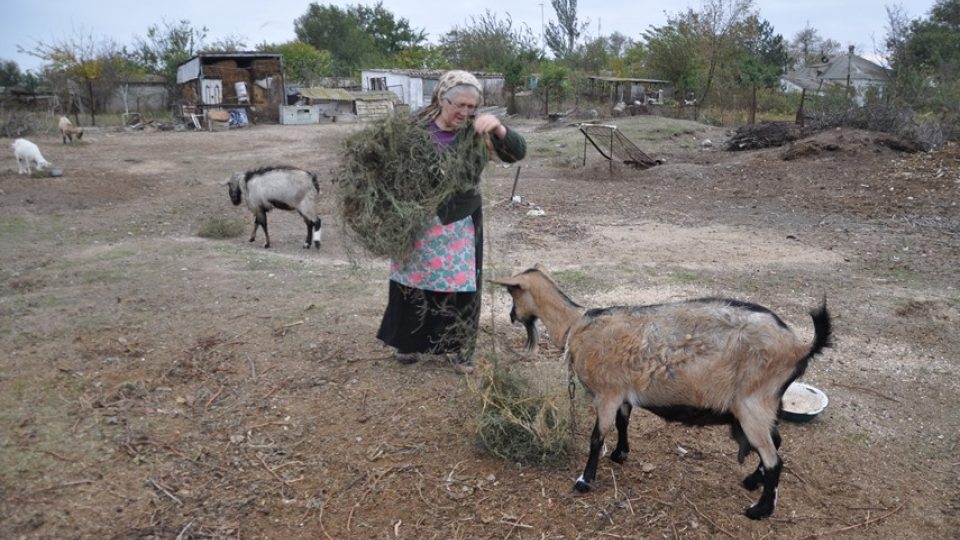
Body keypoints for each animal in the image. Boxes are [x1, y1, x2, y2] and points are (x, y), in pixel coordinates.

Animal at [496, 266, 832, 520]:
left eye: (512, 293)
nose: (512, 317)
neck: (578, 324)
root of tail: (799, 347)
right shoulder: (623, 393)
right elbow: (623, 423)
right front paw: (620, 454)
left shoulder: (607, 394)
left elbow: (596, 438)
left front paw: (584, 480)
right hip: (763, 405)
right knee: (776, 443)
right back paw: (752, 481)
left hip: (753, 404)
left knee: (775, 459)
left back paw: (759, 510)